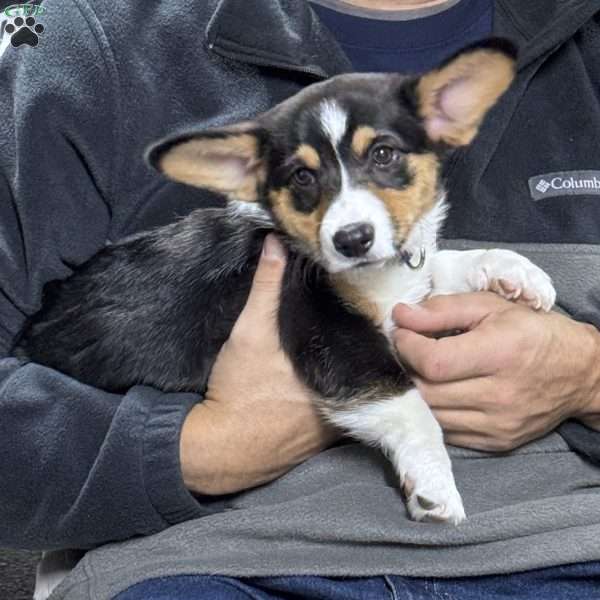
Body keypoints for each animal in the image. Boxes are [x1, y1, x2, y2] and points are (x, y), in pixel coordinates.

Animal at [17, 38, 552, 524]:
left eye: (384, 154)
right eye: (301, 177)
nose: (351, 239)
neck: (372, 273)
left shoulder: (402, 286)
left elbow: (442, 265)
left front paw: (515, 273)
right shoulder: (332, 336)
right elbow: (410, 406)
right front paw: (433, 485)